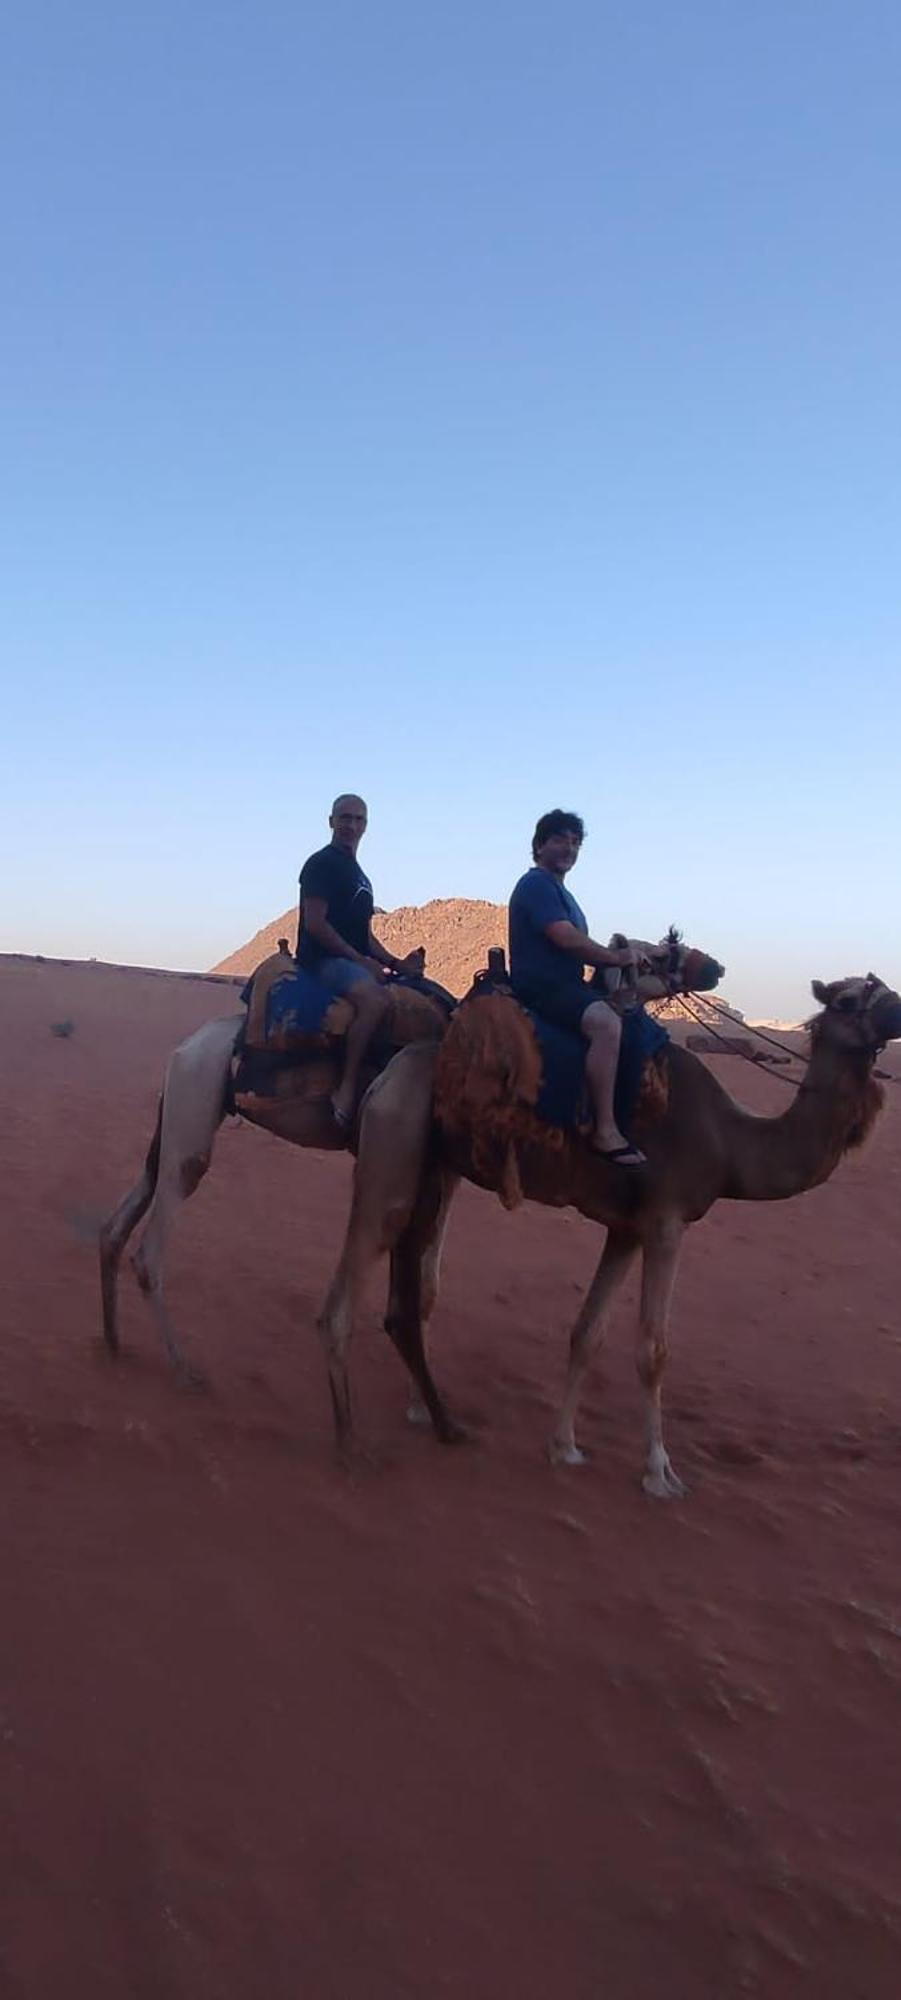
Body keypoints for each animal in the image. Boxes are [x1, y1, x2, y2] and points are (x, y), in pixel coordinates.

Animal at [96, 932, 716, 1392]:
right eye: (657, 955)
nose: (711, 967)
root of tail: (188, 1046)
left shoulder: (441, 1167)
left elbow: (428, 1273)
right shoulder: (438, 1160)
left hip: (176, 1111)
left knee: (118, 1222)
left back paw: (114, 1340)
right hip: (195, 1113)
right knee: (153, 1245)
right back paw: (183, 1368)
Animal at [316, 968, 901, 1504]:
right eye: (849, 999)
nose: (898, 1010)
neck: (731, 1142)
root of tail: (383, 1078)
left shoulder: (626, 1229)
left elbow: (587, 1334)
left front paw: (564, 1446)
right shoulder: (666, 1221)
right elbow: (652, 1349)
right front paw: (660, 1474)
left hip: (431, 1167)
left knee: (404, 1300)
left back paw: (441, 1422)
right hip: (395, 1148)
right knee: (345, 1297)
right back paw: (351, 1446)